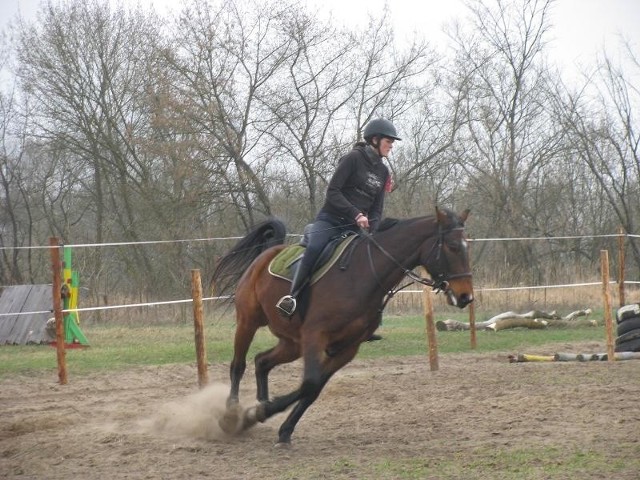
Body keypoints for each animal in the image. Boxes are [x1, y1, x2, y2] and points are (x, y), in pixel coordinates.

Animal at [212, 206, 472, 446]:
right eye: (452, 246)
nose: (466, 297)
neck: (364, 275)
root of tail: (268, 253)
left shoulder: (347, 348)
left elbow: (313, 388)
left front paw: (276, 424)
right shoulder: (315, 336)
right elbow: (309, 383)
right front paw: (260, 414)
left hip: (292, 344)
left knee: (262, 362)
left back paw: (259, 405)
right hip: (248, 322)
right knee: (238, 365)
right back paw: (231, 415)